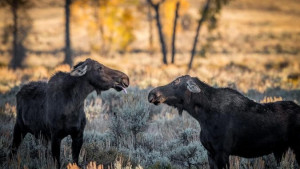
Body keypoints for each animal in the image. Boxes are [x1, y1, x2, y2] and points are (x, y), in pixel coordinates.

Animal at [148, 75, 300, 169]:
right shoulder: (210, 153)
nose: (152, 94)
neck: (202, 117)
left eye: (176, 82)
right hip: (280, 149)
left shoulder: (222, 152)